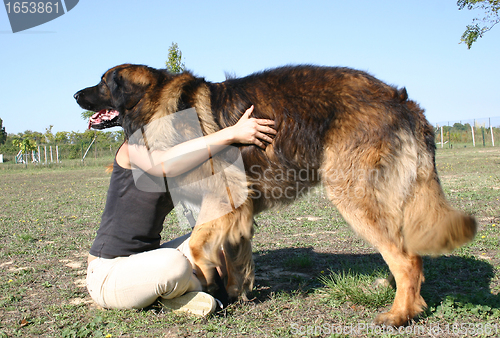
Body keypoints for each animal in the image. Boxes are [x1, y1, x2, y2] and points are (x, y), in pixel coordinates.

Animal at [74, 64, 476, 326]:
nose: (76, 93)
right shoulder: (235, 211)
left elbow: (198, 247)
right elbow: (231, 255)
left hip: (352, 194)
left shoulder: (223, 198)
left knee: (406, 259)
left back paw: (399, 315)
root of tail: (401, 101)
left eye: (103, 81)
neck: (160, 106)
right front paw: (232, 293)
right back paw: (407, 303)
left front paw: (208, 278)